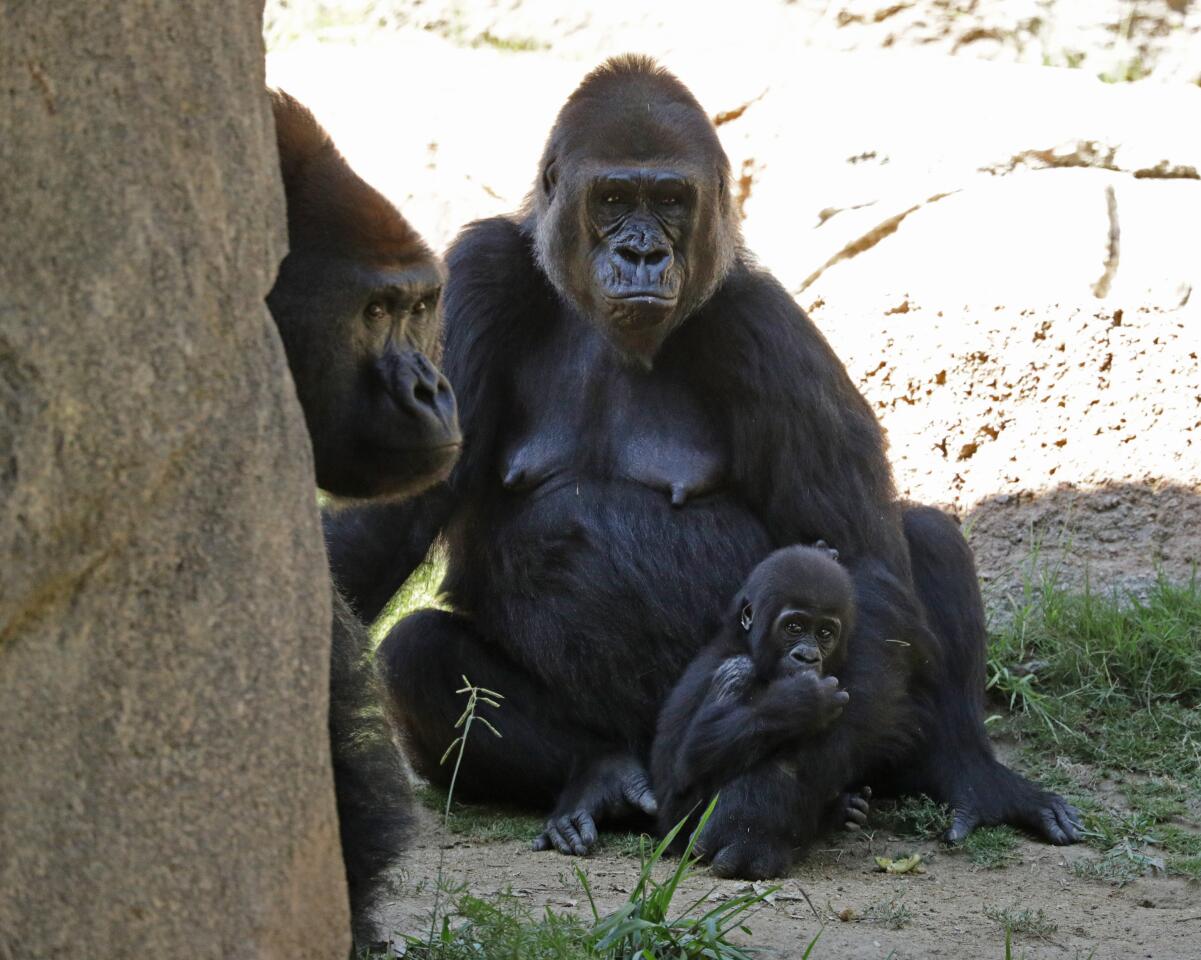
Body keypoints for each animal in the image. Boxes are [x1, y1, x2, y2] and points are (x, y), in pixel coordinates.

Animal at [653, 547, 869, 869]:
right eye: (793, 627)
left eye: (825, 633)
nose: (807, 657)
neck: (744, 643)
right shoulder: (735, 668)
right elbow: (695, 755)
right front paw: (803, 701)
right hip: (676, 833)